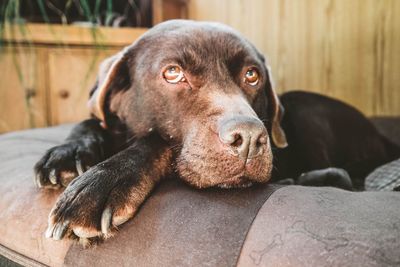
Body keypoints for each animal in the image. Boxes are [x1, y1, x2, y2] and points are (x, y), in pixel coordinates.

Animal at [32, 19, 398, 247]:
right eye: (173, 73)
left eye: (252, 75)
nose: (249, 138)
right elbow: (91, 122)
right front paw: (67, 153)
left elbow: (156, 139)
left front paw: (101, 182)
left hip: (307, 109)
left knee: (348, 176)